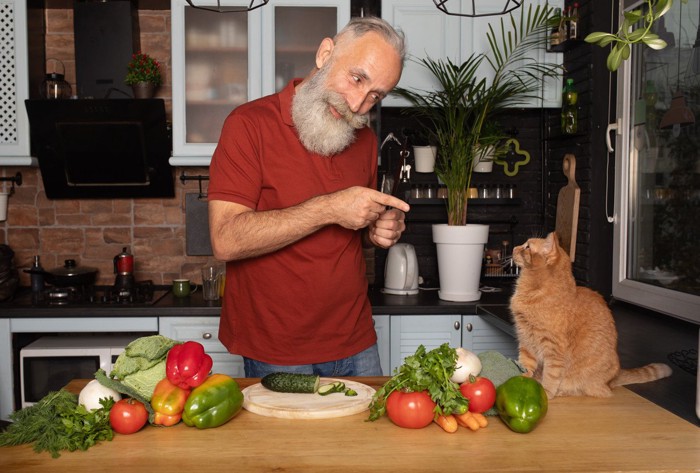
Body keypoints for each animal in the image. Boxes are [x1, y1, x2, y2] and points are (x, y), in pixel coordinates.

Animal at [512, 230, 668, 396]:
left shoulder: (553, 349)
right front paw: (520, 379)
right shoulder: (526, 341)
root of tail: (613, 378)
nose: (514, 248)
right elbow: (525, 364)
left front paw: (544, 393)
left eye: (527, 247)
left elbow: (551, 376)